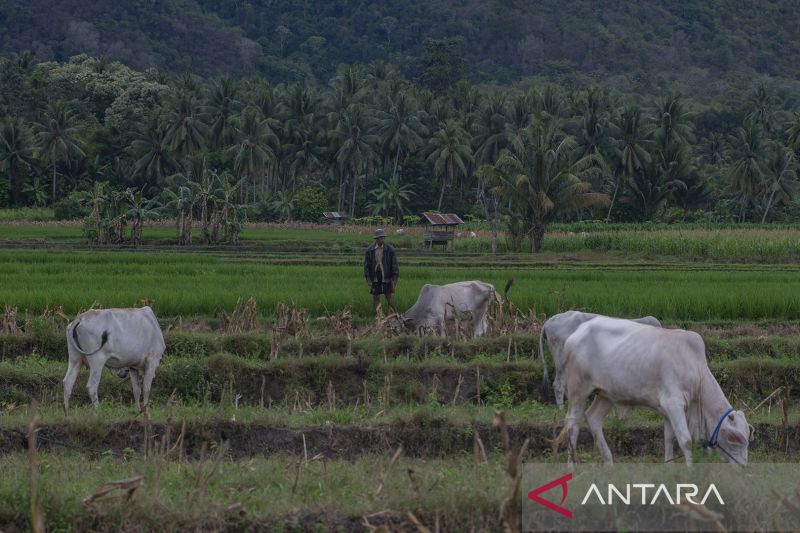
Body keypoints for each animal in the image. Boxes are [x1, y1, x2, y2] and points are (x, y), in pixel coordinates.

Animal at [560, 316, 752, 466]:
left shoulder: (668, 409)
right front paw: (691, 472)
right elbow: (686, 441)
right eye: (735, 439)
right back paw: (572, 466)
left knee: (593, 417)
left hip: (607, 394)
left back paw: (609, 463)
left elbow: (669, 438)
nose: (743, 466)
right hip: (578, 390)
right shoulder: (673, 403)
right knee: (572, 424)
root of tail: (578, 332)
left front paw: (668, 467)